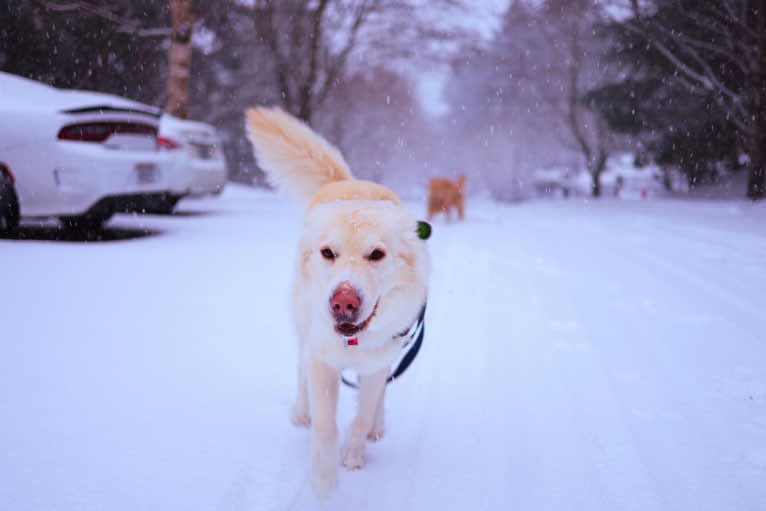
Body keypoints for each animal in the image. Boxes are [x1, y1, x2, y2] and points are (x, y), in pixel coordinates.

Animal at [246, 106, 432, 498]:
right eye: (328, 253)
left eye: (376, 254)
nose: (343, 302)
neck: (353, 341)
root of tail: (348, 182)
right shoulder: (322, 362)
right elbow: (325, 425)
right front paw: (323, 481)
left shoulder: (377, 361)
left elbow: (363, 413)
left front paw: (354, 454)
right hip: (303, 328)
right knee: (300, 371)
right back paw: (301, 412)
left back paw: (377, 424)